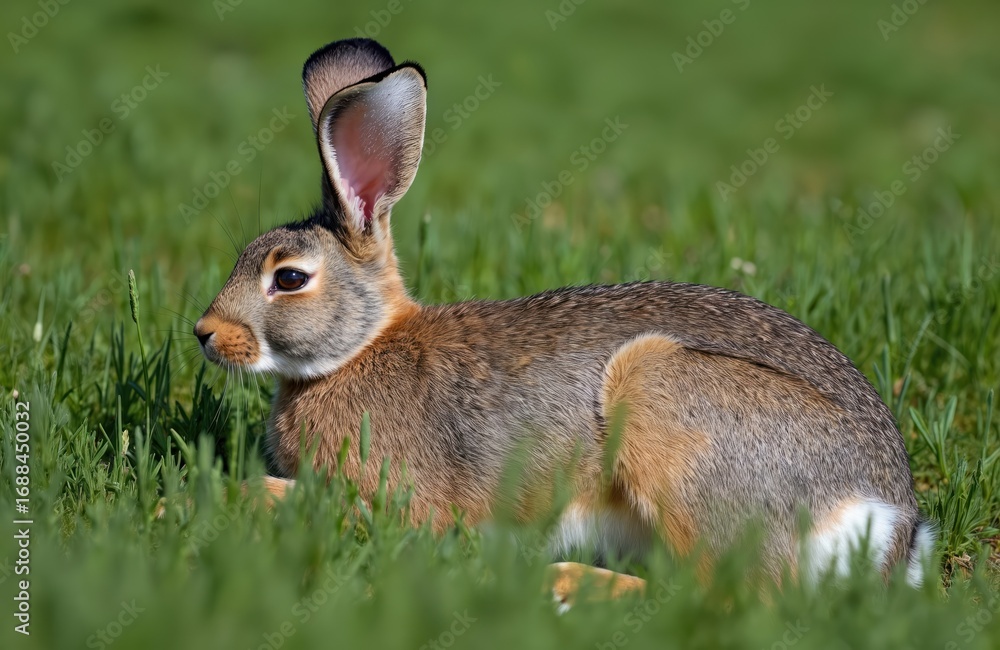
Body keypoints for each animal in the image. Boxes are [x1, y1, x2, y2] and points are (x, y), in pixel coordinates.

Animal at [193, 37, 934, 594]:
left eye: (289, 279)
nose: (204, 334)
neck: (359, 347)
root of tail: (885, 522)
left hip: (665, 402)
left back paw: (567, 583)